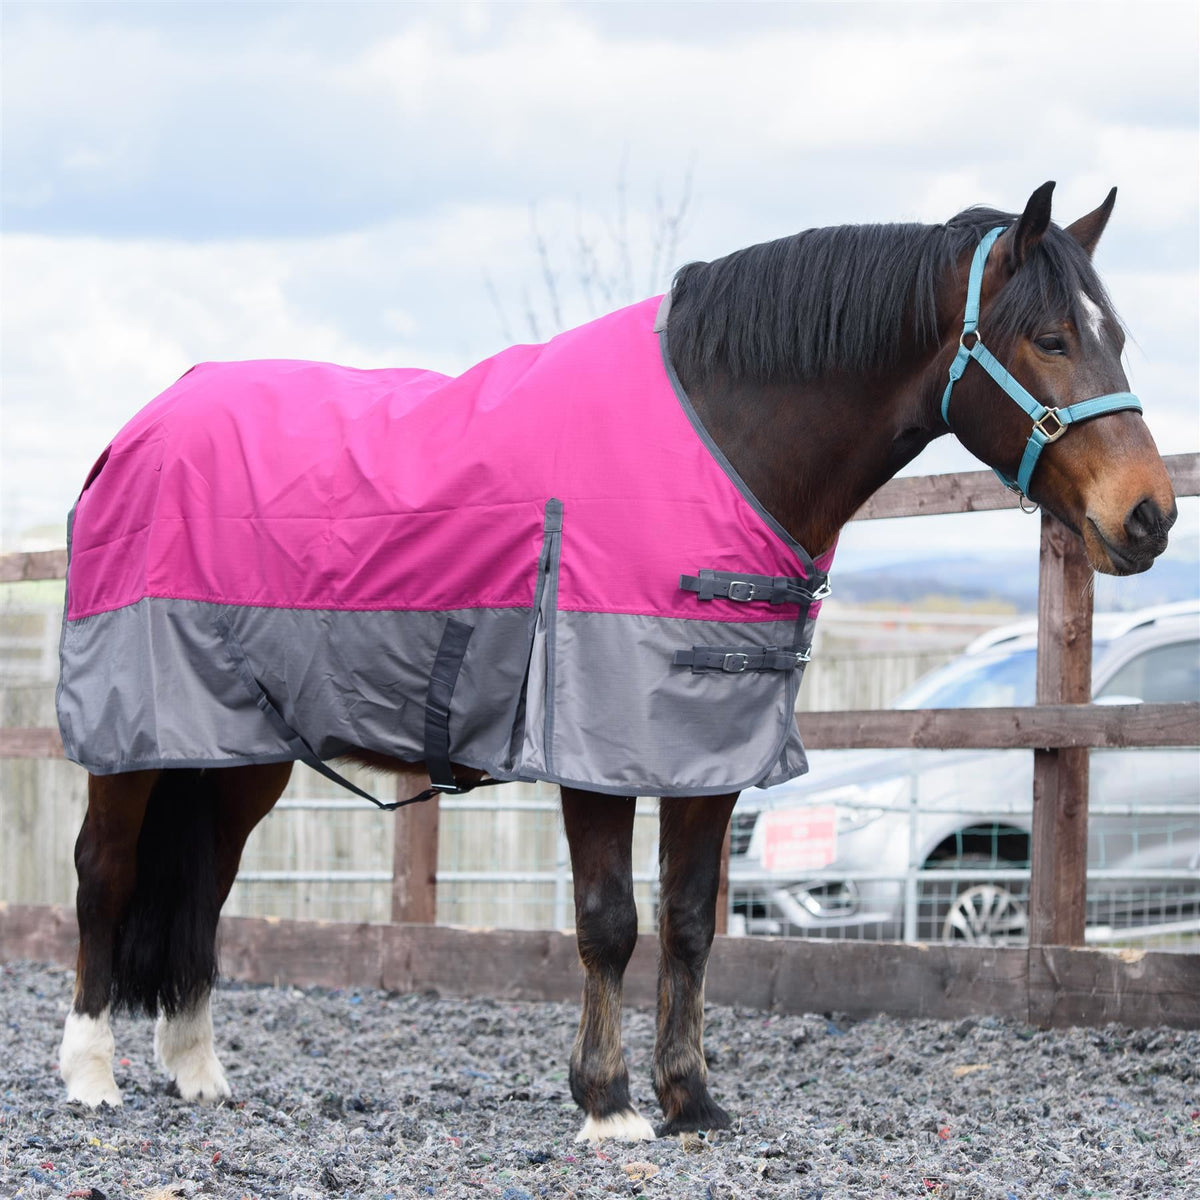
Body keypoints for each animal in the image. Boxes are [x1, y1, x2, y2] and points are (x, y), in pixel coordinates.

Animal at [56, 183, 1176, 1141]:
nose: (1151, 515)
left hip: (238, 752)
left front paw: (692, 1099)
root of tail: (140, 430)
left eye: (1116, 335)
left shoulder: (709, 749)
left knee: (203, 883)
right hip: (132, 745)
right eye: (1050, 337)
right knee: (104, 873)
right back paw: (91, 1076)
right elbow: (608, 922)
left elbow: (687, 923)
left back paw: (199, 1072)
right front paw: (607, 1103)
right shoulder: (594, 746)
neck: (720, 443)